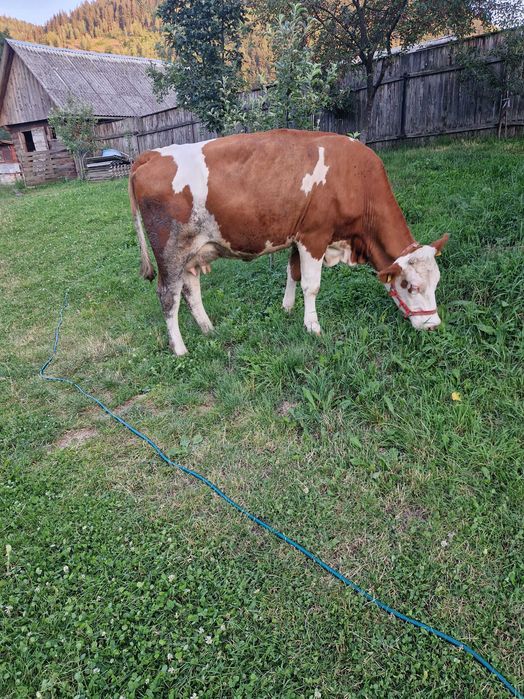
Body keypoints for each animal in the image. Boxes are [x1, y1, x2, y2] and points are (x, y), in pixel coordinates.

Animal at [129, 129, 448, 355]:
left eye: (436, 283)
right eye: (411, 286)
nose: (433, 325)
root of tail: (153, 153)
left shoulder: (299, 236)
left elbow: (292, 273)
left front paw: (287, 308)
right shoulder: (314, 236)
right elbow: (311, 285)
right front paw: (312, 325)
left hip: (191, 253)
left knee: (191, 289)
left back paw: (209, 330)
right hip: (170, 252)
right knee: (168, 296)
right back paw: (180, 349)